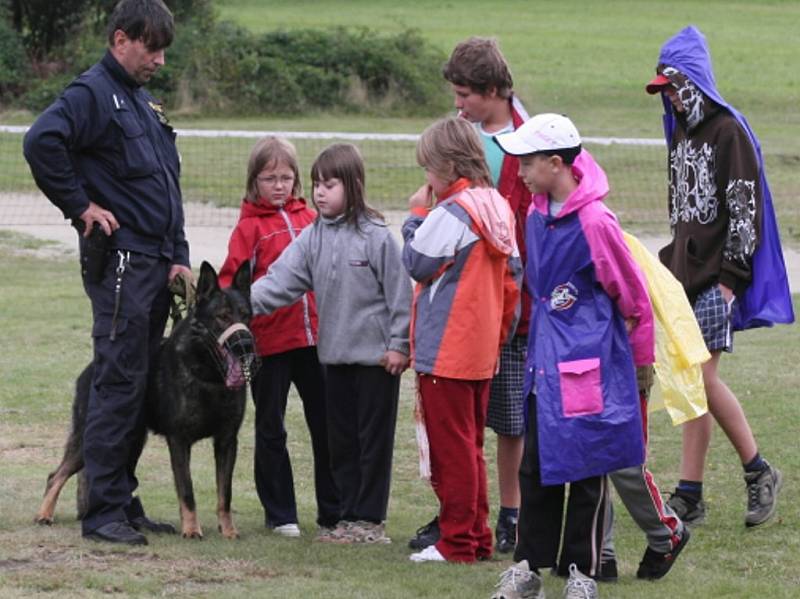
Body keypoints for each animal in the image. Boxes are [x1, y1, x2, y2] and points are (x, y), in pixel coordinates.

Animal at [36, 262, 260, 540]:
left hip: (132, 442)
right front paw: (191, 529)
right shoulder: (179, 442)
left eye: (246, 315)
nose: (245, 345)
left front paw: (228, 530)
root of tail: (90, 370)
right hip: (89, 440)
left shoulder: (227, 442)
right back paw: (45, 514)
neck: (208, 374)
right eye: (222, 317)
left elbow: (224, 494)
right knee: (55, 475)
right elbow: (187, 490)